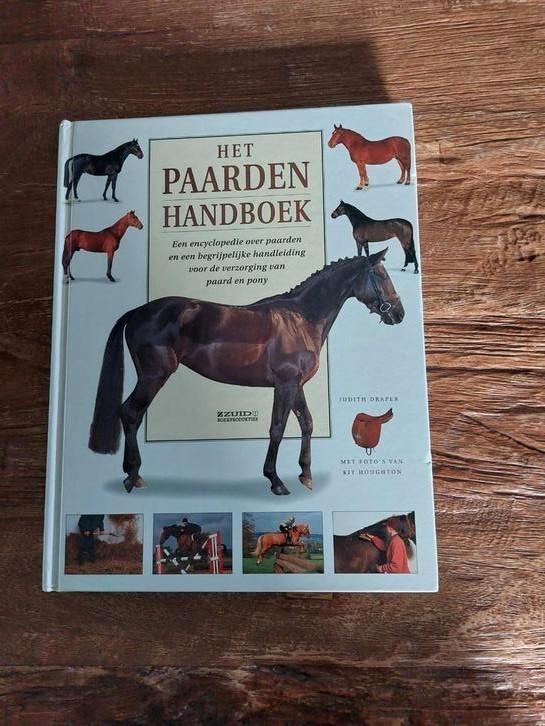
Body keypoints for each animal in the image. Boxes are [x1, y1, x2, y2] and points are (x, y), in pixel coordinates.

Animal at [88, 249, 404, 495]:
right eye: (381, 277)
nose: (399, 314)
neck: (301, 319)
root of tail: (138, 312)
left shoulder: (296, 386)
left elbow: (307, 423)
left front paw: (305, 475)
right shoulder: (285, 385)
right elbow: (277, 428)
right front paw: (276, 481)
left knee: (131, 414)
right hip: (153, 377)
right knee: (130, 413)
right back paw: (133, 477)